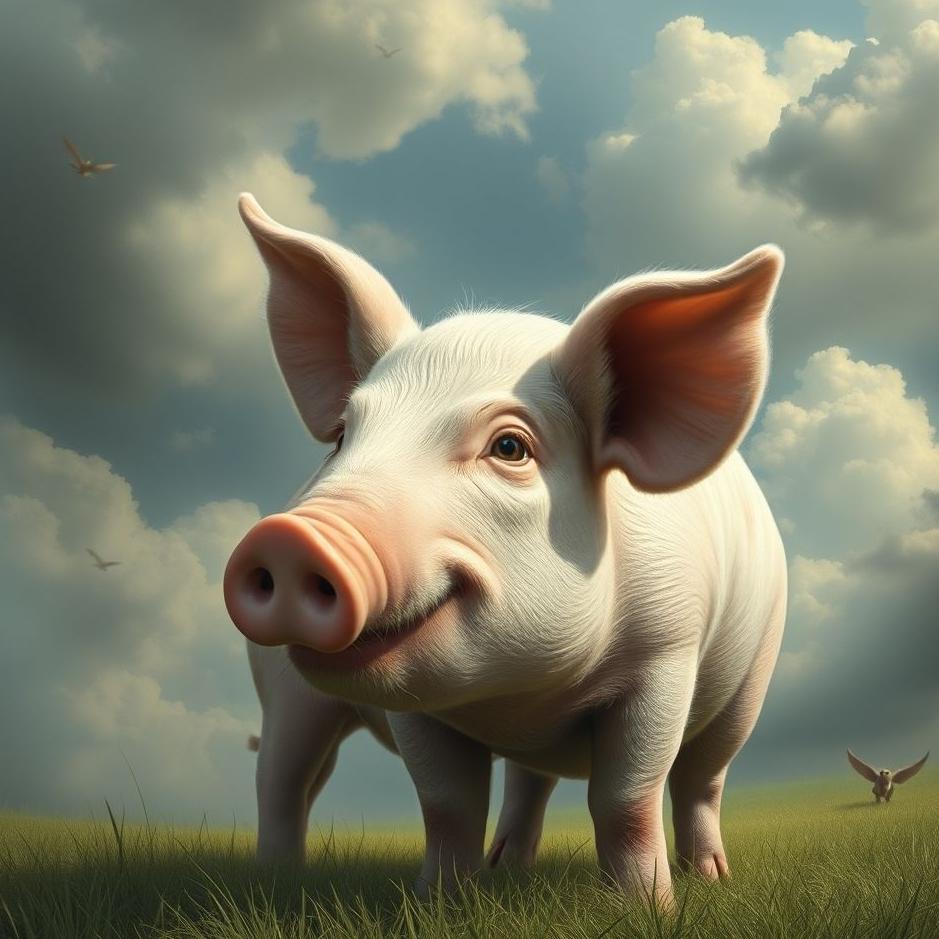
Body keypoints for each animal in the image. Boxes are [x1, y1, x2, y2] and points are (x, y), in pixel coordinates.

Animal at [224, 192, 787, 906]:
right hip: (280, 686)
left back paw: (707, 876)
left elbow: (627, 799)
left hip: (751, 679)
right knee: (284, 780)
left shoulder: (667, 649)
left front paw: (649, 911)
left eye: (511, 447)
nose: (289, 536)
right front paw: (435, 905)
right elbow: (447, 803)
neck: (518, 696)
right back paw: (285, 883)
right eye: (345, 435)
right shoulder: (414, 703)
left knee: (700, 781)